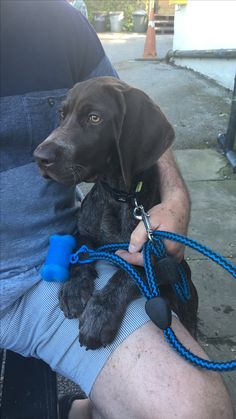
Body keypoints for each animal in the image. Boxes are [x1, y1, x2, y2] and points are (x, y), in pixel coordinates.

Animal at [34, 77, 198, 350]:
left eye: (94, 118)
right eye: (61, 115)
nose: (39, 157)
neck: (119, 196)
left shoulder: (153, 255)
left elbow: (127, 275)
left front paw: (100, 312)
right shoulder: (83, 232)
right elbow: (80, 254)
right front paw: (74, 287)